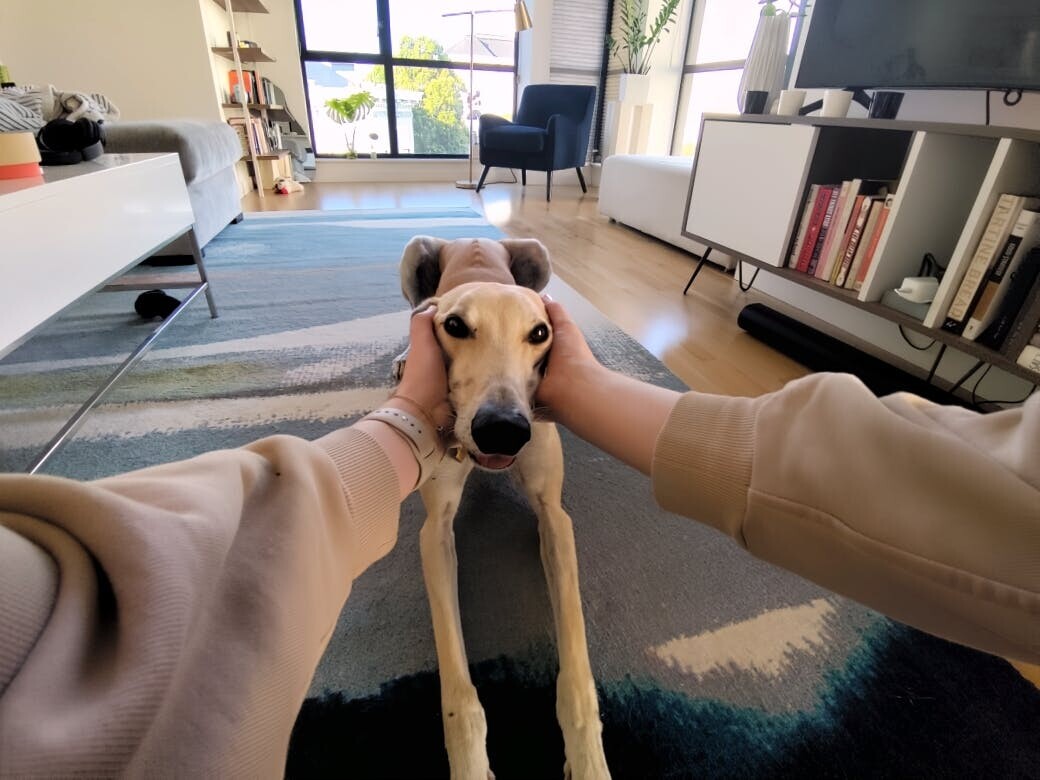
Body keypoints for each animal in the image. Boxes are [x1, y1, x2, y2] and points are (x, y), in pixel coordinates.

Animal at [397, 236, 610, 779]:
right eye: (455, 326)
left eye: (540, 333)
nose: (502, 429)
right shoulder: (436, 530)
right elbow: (458, 690)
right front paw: (471, 764)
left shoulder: (555, 517)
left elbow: (576, 665)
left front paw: (588, 760)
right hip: (415, 254)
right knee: (412, 309)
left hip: (537, 254)